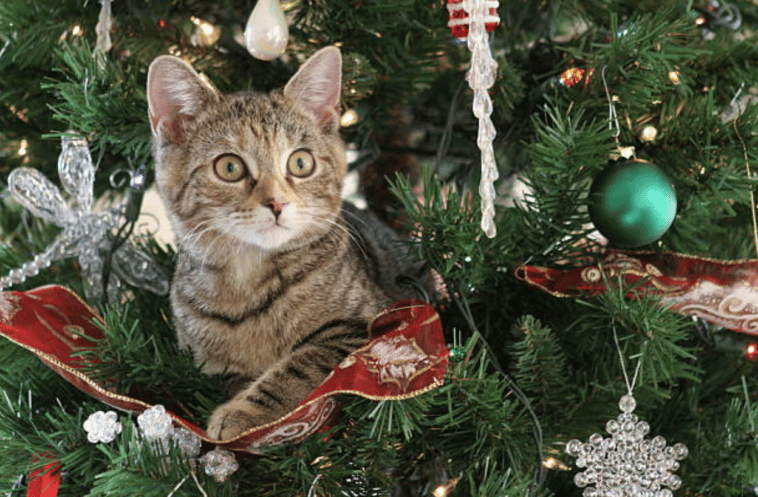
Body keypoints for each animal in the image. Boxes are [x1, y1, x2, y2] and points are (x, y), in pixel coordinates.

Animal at [146, 48, 424, 440]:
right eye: (229, 167)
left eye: (301, 162)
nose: (277, 202)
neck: (247, 279)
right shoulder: (204, 363)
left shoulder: (367, 325)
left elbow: (300, 365)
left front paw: (243, 413)